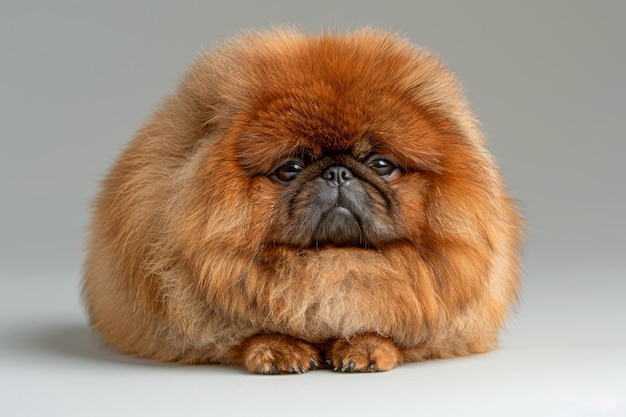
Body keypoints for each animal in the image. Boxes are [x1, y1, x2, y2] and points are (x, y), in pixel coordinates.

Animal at [83, 29, 520, 374]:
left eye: (382, 165)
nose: (337, 172)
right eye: (289, 169)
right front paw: (278, 348)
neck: (333, 262)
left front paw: (366, 346)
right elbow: (247, 330)